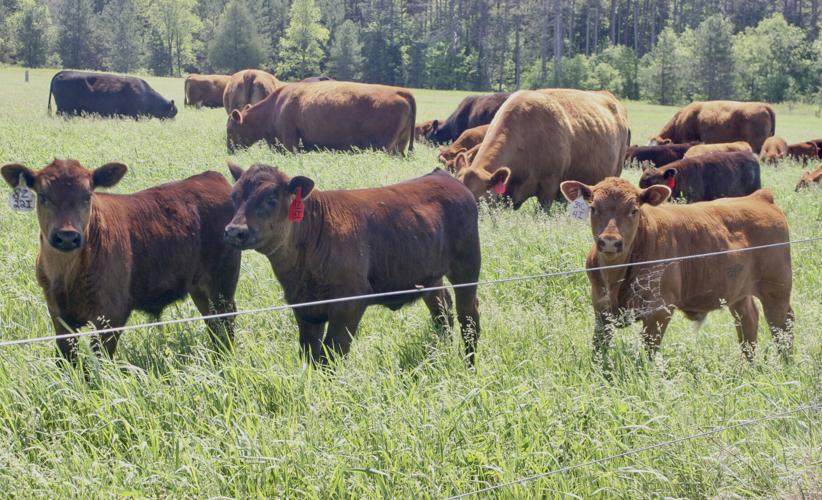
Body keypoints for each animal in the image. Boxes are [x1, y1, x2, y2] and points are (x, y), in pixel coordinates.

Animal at [0, 160, 241, 364]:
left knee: (226, 319)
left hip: (223, 282)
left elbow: (99, 365)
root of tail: (211, 177)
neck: (66, 276)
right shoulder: (59, 316)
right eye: (43, 196)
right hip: (199, 288)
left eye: (87, 196)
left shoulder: (111, 315)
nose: (67, 236)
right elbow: (66, 361)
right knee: (212, 321)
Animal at [223, 163, 481, 365]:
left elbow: (332, 355)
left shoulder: (350, 302)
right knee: (442, 311)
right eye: (234, 196)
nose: (234, 231)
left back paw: (469, 364)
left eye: (271, 199)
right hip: (429, 276)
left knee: (468, 317)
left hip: (467, 267)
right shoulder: (304, 309)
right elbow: (310, 355)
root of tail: (443, 176)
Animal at [226, 81, 416, 155]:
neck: (275, 107)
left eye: (230, 130)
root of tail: (401, 92)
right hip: (400, 146)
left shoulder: (290, 142)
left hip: (384, 147)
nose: (229, 150)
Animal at [559, 178, 793, 362]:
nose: (610, 242)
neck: (614, 276)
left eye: (634, 210)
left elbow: (649, 353)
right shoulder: (601, 309)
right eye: (593, 208)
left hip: (777, 289)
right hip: (738, 293)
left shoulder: (658, 311)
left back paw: (786, 364)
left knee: (782, 324)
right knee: (748, 320)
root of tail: (759, 197)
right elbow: (598, 348)